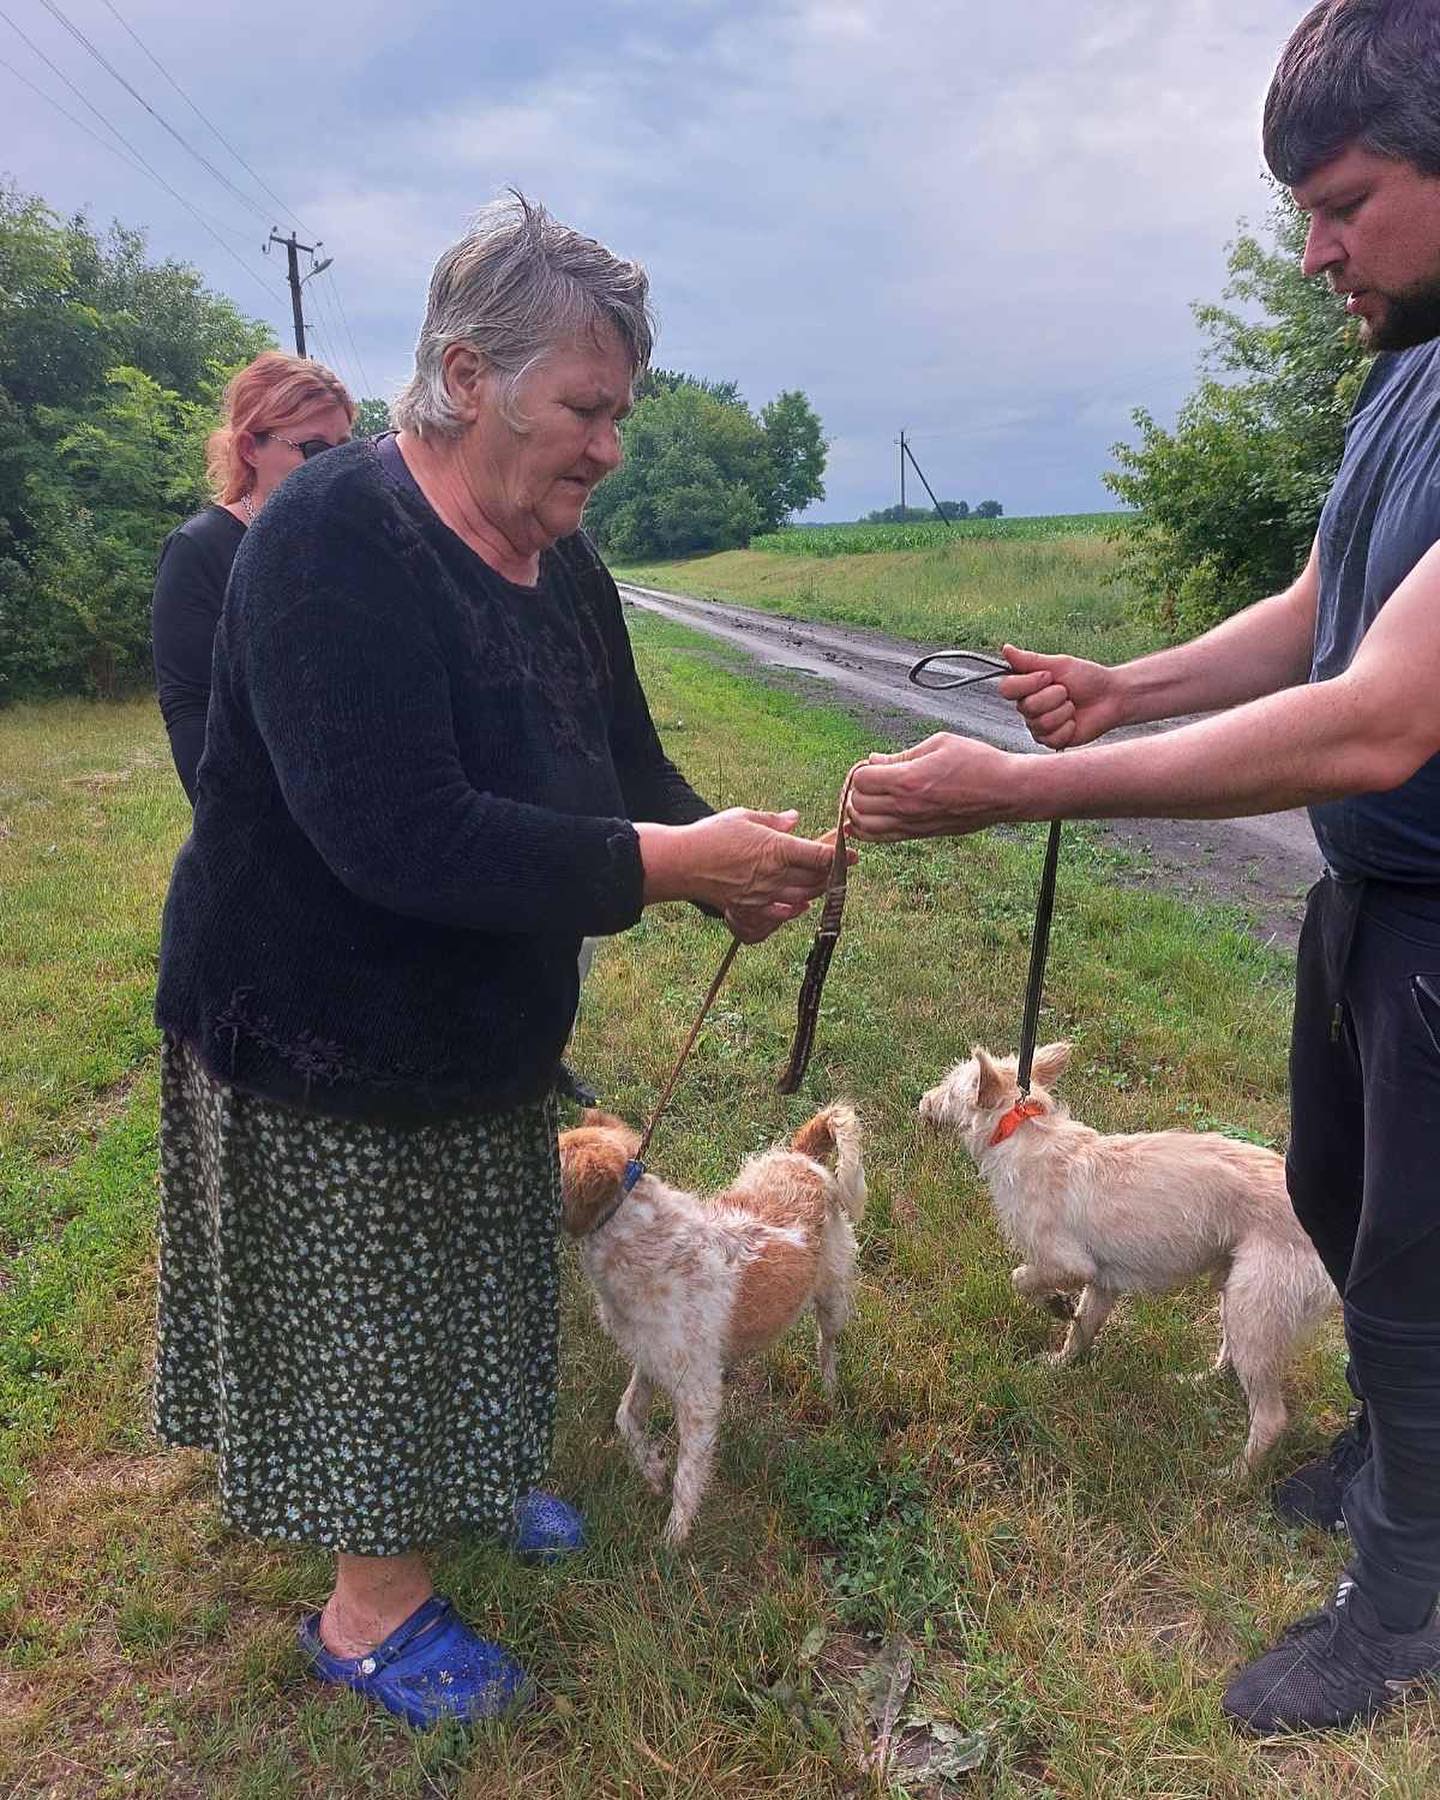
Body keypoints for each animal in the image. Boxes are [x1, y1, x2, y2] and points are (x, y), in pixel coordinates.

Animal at [558, 1101, 860, 1540]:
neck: (647, 1245)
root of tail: (803, 1158)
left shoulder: (698, 1397)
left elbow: (688, 1476)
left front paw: (673, 1540)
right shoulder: (650, 1360)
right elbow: (626, 1417)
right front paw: (652, 1470)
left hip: (832, 1298)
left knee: (827, 1346)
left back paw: (831, 1392)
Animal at [921, 1051, 1339, 1468]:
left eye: (951, 1087)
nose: (923, 1101)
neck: (1021, 1129)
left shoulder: (1069, 1264)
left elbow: (1021, 1277)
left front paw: (1054, 1304)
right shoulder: (1102, 1282)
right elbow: (1080, 1330)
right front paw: (1057, 1366)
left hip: (1255, 1308)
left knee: (1270, 1417)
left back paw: (1235, 1473)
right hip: (1237, 1299)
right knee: (1230, 1360)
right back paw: (1195, 1382)